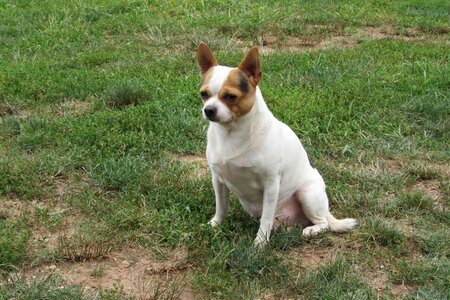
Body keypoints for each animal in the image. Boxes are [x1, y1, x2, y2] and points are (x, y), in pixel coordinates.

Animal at [197, 42, 358, 246]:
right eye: (203, 94)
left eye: (231, 96)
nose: (208, 109)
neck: (231, 134)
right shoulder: (218, 180)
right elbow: (221, 207)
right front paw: (215, 225)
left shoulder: (271, 185)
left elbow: (265, 219)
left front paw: (260, 243)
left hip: (307, 194)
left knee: (323, 224)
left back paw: (311, 230)